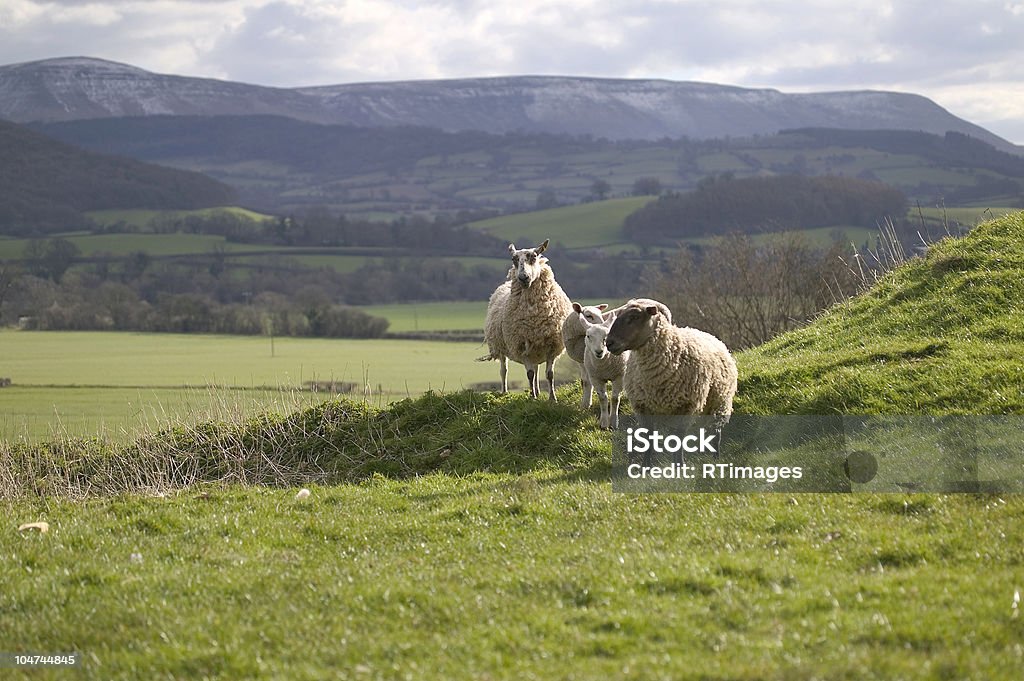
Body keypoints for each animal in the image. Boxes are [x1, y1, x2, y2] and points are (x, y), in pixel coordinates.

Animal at [475, 238, 573, 399]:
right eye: (514, 259)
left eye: (534, 257)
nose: (523, 277)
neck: (535, 316)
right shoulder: (521, 345)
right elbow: (530, 374)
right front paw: (532, 398)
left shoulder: (552, 346)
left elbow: (549, 374)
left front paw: (552, 398)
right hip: (501, 347)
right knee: (504, 370)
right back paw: (505, 392)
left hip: (536, 349)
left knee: (537, 369)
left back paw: (538, 391)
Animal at [602, 296, 741, 436]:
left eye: (634, 317)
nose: (609, 343)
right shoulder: (643, 409)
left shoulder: (684, 409)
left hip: (719, 405)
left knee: (715, 432)